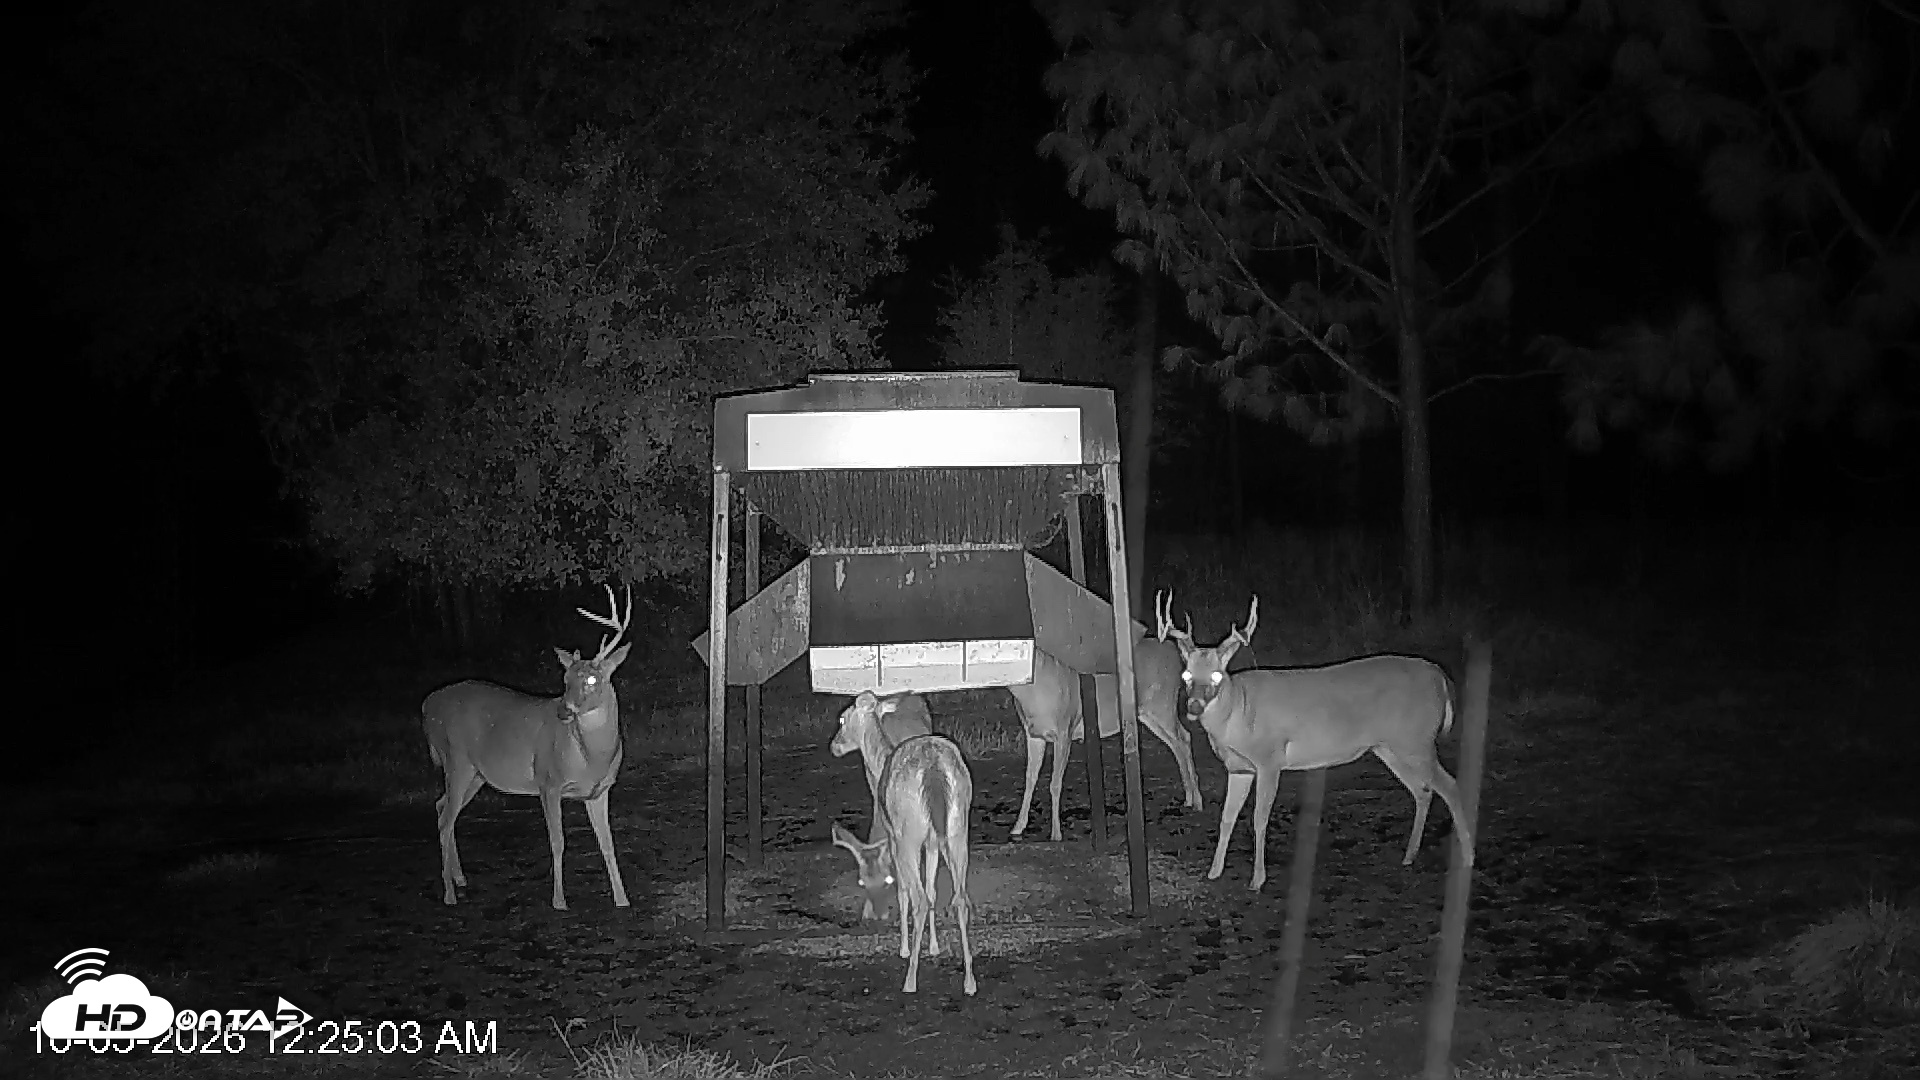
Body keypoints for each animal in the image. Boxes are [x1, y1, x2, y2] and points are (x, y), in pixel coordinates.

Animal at [421, 585, 634, 910]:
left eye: (592, 679)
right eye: (565, 678)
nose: (563, 710)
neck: (591, 757)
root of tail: (426, 705)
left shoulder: (599, 791)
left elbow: (608, 844)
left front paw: (622, 899)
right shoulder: (548, 782)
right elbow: (558, 842)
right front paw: (559, 901)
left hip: (477, 774)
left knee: (442, 806)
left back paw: (459, 878)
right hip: (455, 759)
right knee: (445, 819)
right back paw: (448, 894)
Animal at [830, 733, 978, 996]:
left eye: (863, 881)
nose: (835, 746)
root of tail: (933, 769)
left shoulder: (894, 838)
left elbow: (903, 890)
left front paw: (905, 949)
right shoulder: (931, 842)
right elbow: (932, 889)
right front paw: (934, 947)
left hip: (909, 832)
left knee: (919, 899)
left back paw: (910, 980)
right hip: (958, 829)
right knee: (960, 898)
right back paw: (970, 982)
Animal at [1007, 637, 1202, 843]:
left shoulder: (1064, 731)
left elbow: (1055, 784)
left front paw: (1056, 833)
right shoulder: (1034, 735)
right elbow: (1029, 779)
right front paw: (1018, 827)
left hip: (1163, 705)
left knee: (1182, 739)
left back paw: (1195, 800)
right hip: (1150, 714)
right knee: (1181, 739)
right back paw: (1190, 798)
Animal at [1156, 590, 1474, 891]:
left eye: (1216, 675)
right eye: (1186, 675)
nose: (1194, 706)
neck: (1238, 712)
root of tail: (1441, 677)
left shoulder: (1270, 759)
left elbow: (1259, 819)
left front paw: (1257, 880)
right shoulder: (1239, 767)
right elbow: (1226, 818)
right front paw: (1214, 872)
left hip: (1417, 741)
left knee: (1450, 785)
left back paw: (1468, 857)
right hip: (1391, 746)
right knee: (1423, 790)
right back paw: (1409, 855)